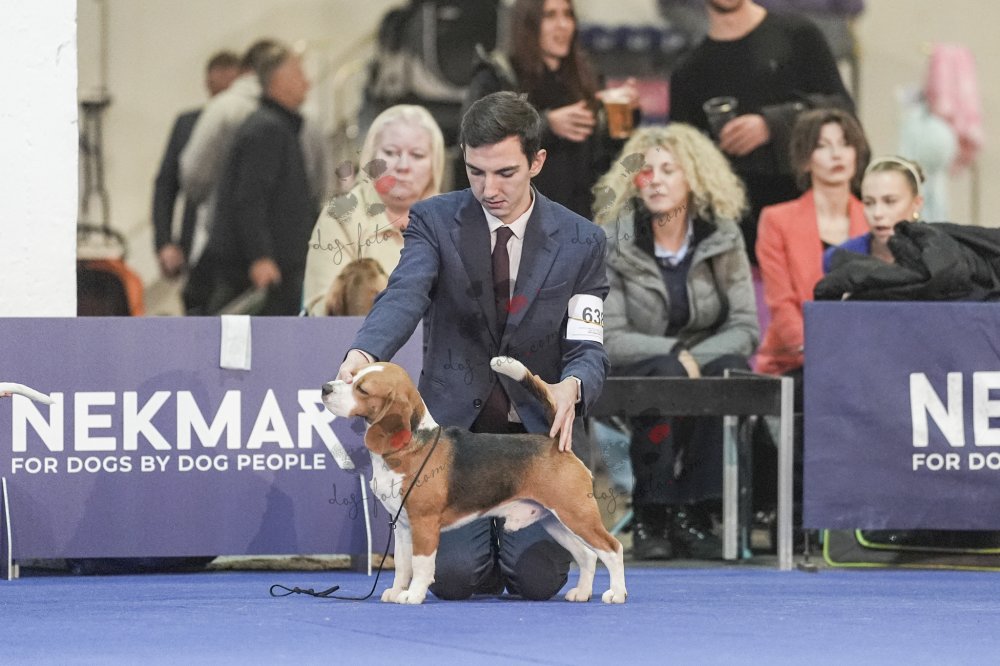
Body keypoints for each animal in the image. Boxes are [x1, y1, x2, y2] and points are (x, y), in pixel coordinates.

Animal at [322, 357, 627, 605]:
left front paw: (414, 595)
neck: (412, 444)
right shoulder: (403, 526)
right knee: (588, 555)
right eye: (352, 376)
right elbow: (403, 566)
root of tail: (554, 443)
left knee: (612, 549)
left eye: (362, 389)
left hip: (577, 515)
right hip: (555, 521)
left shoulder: (424, 524)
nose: (325, 388)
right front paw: (397, 592)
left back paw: (616, 593)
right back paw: (582, 593)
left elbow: (421, 566)